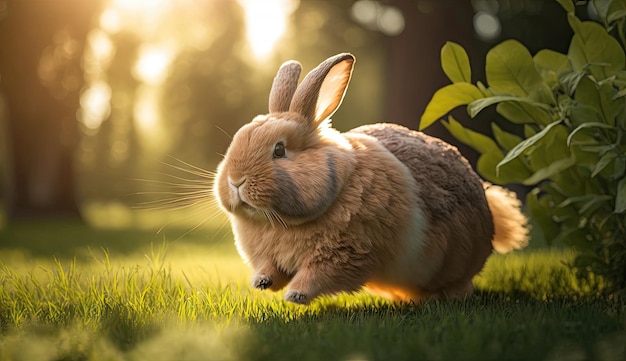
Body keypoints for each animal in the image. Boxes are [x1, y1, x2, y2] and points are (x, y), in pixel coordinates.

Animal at [213, 52, 528, 302]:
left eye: (279, 150)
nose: (236, 181)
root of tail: (487, 205)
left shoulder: (344, 255)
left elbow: (316, 276)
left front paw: (296, 296)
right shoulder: (270, 257)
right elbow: (271, 269)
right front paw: (261, 283)